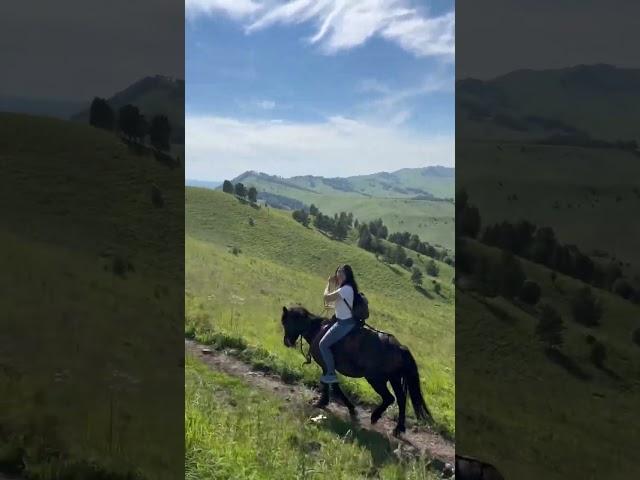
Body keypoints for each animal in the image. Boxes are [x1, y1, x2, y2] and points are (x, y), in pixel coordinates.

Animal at [278, 308, 430, 436]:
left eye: (286, 322)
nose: (286, 342)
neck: (318, 331)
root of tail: (399, 347)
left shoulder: (327, 367)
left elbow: (334, 387)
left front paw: (345, 407)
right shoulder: (327, 368)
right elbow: (330, 385)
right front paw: (324, 402)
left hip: (376, 379)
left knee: (390, 398)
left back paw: (376, 417)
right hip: (394, 379)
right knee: (401, 399)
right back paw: (398, 428)